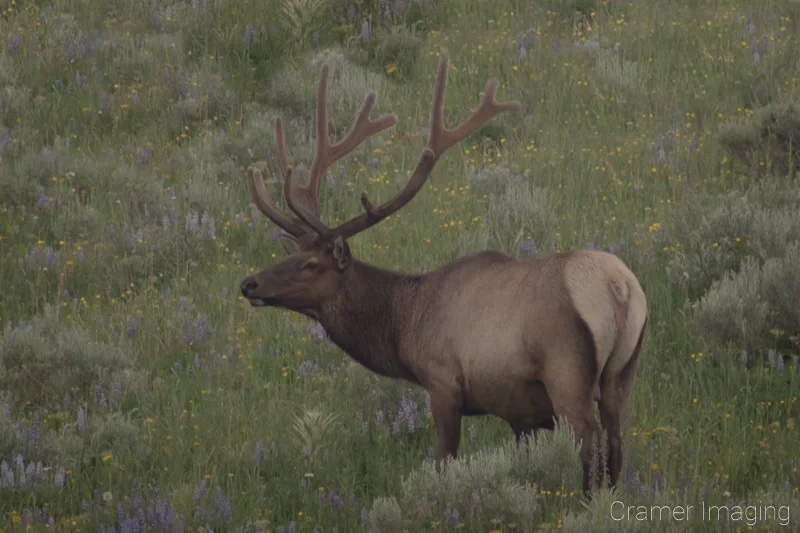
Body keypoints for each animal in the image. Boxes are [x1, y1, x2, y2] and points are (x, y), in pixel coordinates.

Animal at [238, 52, 644, 492]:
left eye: (311, 264)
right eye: (292, 254)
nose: (249, 283)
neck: (405, 327)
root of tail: (618, 287)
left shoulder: (443, 383)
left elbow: (444, 461)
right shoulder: (519, 411)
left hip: (567, 372)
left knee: (592, 444)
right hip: (621, 374)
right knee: (617, 443)